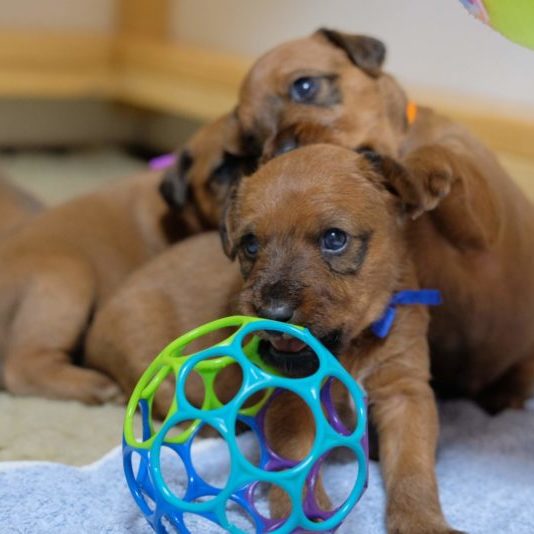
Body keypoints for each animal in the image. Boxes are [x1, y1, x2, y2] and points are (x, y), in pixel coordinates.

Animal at [220, 143, 460, 533]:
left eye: (334, 239)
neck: (351, 349)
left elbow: (413, 468)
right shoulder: (291, 399)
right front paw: (302, 516)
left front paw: (420, 521)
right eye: (250, 245)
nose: (272, 312)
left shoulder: (406, 394)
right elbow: (294, 461)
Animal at [235, 29, 534, 413]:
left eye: (304, 87)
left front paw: (415, 172)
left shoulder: (482, 224)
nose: (279, 151)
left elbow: (442, 156)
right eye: (254, 140)